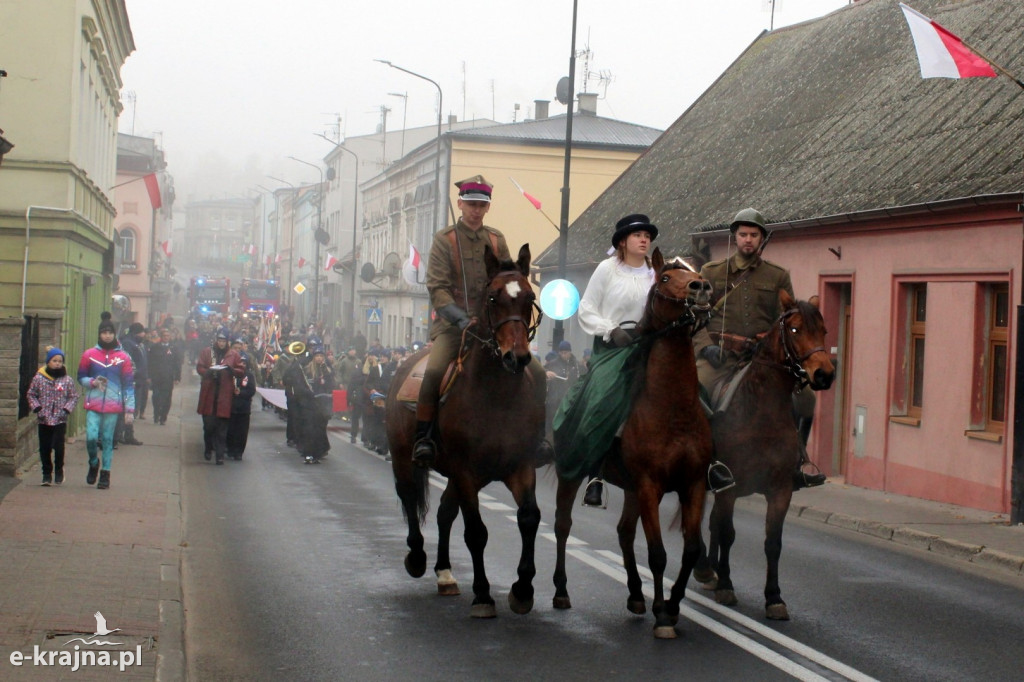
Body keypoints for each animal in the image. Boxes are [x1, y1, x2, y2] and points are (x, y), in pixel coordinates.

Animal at [385, 242, 548, 614]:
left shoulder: (520, 466)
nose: (517, 357)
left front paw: (523, 589)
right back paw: (417, 557)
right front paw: (484, 594)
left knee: (445, 512)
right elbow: (476, 531)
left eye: (530, 295)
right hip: (404, 457)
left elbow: (529, 517)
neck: (498, 396)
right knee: (409, 495)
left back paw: (445, 573)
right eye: (492, 297)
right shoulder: (465, 470)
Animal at [552, 248, 712, 638]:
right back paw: (561, 591)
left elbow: (690, 549)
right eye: (666, 278)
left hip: (630, 488)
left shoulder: (692, 484)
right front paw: (663, 617)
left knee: (624, 533)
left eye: (694, 271)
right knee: (563, 525)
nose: (701, 288)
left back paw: (638, 596)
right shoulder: (650, 485)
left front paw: (671, 605)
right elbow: (657, 553)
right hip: (573, 473)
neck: (673, 410)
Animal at [692, 288, 835, 618]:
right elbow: (729, 534)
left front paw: (774, 597)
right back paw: (705, 568)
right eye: (794, 329)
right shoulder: (729, 488)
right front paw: (727, 586)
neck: (761, 411)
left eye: (823, 330)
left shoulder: (781, 490)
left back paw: (711, 571)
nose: (824, 374)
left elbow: (773, 542)